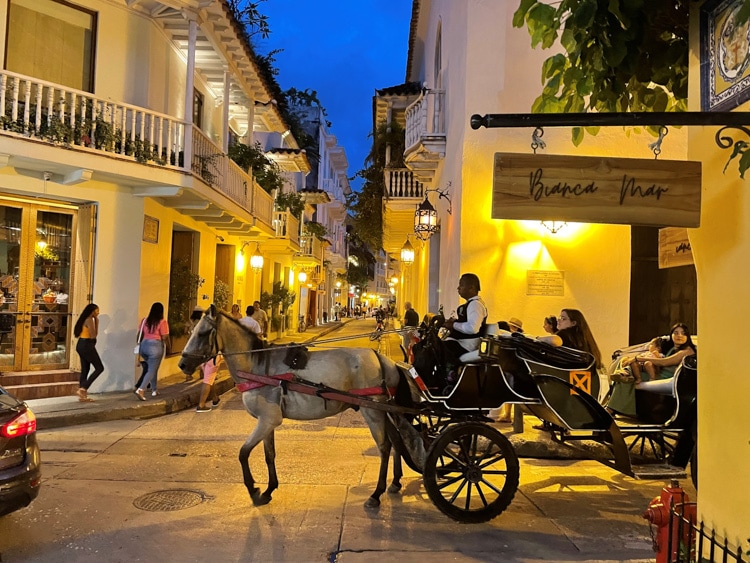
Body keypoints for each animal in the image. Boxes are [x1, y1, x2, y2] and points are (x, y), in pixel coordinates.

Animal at [179, 306, 414, 508]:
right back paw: (395, 482)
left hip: (372, 410)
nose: (182, 364)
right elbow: (269, 454)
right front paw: (269, 490)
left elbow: (243, 453)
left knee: (384, 447)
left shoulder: (268, 419)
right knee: (396, 441)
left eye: (202, 333)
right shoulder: (268, 421)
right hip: (383, 410)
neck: (257, 365)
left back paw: (376, 493)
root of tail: (381, 358)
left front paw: (254, 490)